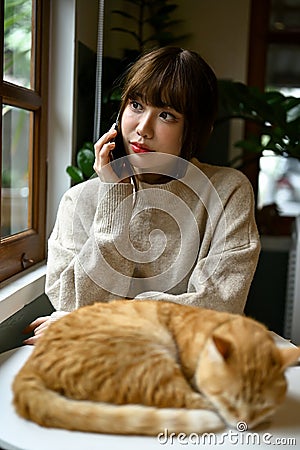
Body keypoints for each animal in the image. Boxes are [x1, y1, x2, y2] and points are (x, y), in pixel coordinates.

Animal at [12, 300, 300, 434]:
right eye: (230, 401)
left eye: (263, 406)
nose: (244, 425)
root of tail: (30, 366)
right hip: (150, 362)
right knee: (183, 400)